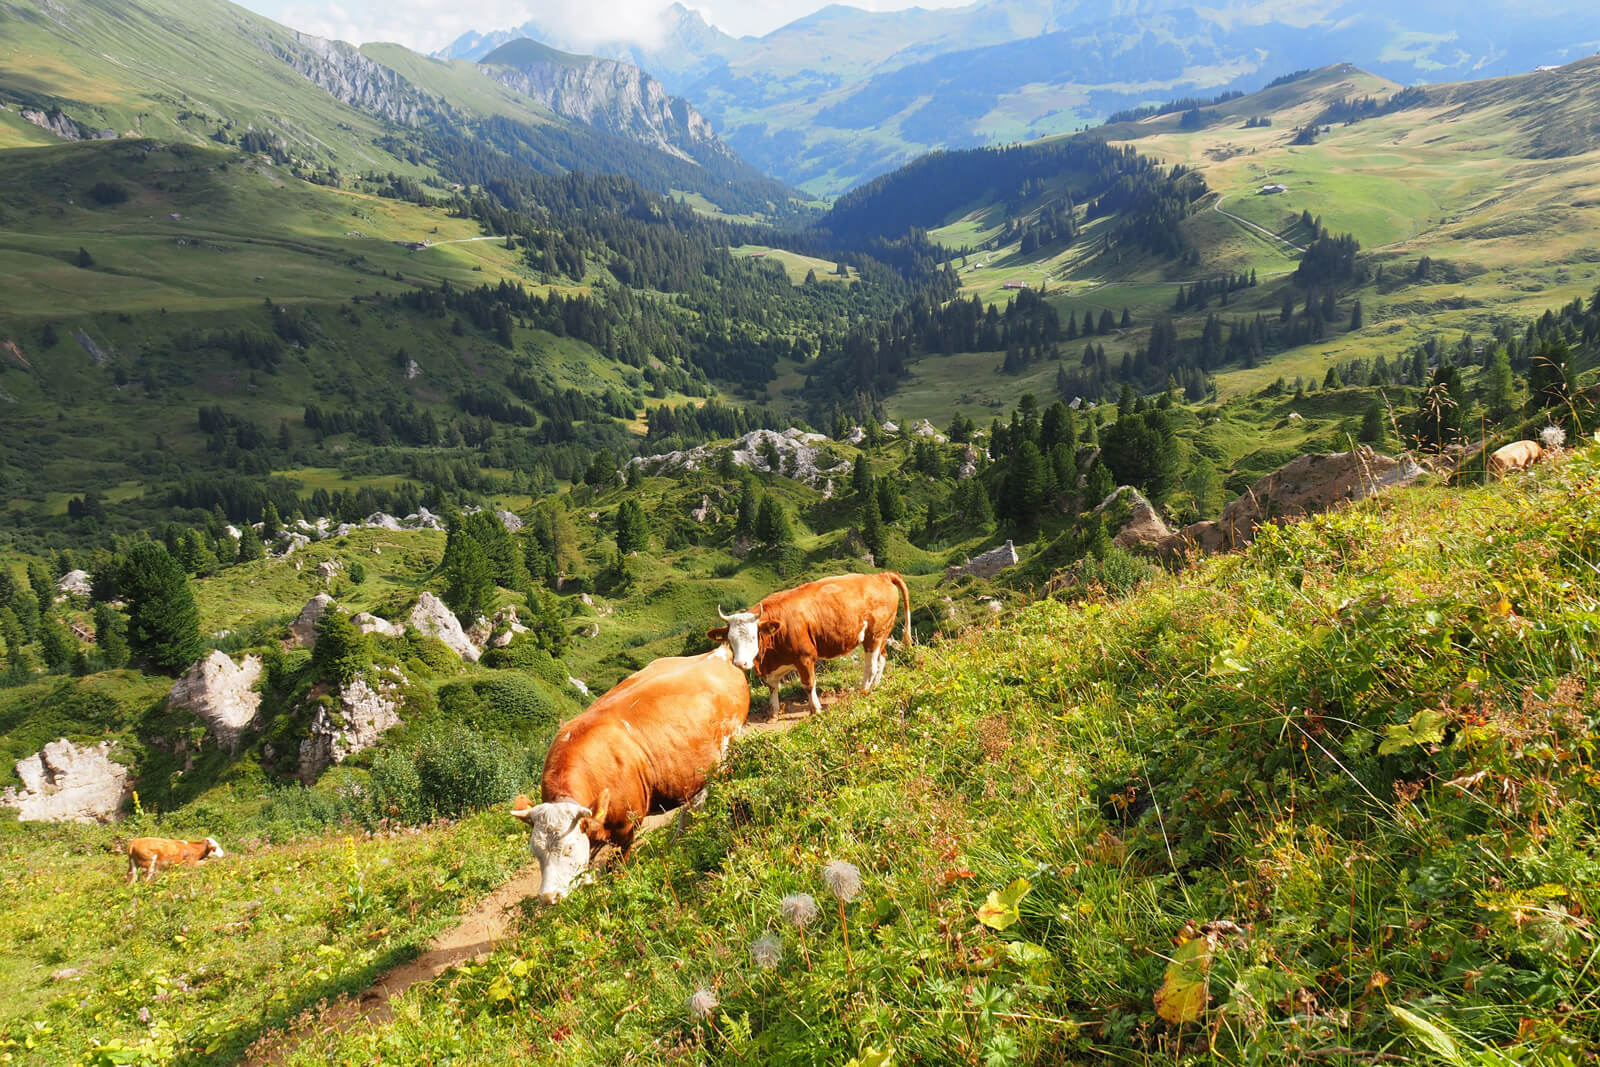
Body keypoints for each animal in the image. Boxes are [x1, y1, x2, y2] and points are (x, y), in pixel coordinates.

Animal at [508, 646, 752, 908]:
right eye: (535, 850)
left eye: (569, 848)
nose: (548, 896)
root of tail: (718, 653)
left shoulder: (626, 828)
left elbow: (615, 868)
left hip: (730, 744)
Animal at [704, 566, 908, 716]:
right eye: (730, 639)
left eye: (754, 636)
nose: (740, 664)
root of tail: (881, 576)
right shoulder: (777, 663)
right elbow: (772, 686)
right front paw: (773, 711)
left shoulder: (805, 656)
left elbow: (808, 684)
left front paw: (815, 709)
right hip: (883, 634)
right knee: (882, 659)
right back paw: (875, 686)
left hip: (874, 635)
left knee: (871, 665)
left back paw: (863, 691)